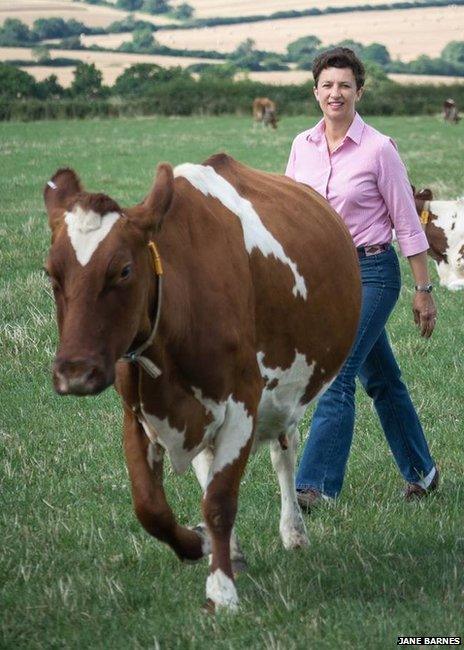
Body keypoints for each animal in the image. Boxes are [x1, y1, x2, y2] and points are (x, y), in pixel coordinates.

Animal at [43, 152, 360, 608]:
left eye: (123, 270)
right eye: (51, 273)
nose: (75, 372)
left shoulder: (244, 403)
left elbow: (220, 501)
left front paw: (222, 590)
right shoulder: (136, 412)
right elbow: (151, 508)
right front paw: (202, 546)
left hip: (285, 395)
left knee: (283, 455)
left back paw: (293, 531)